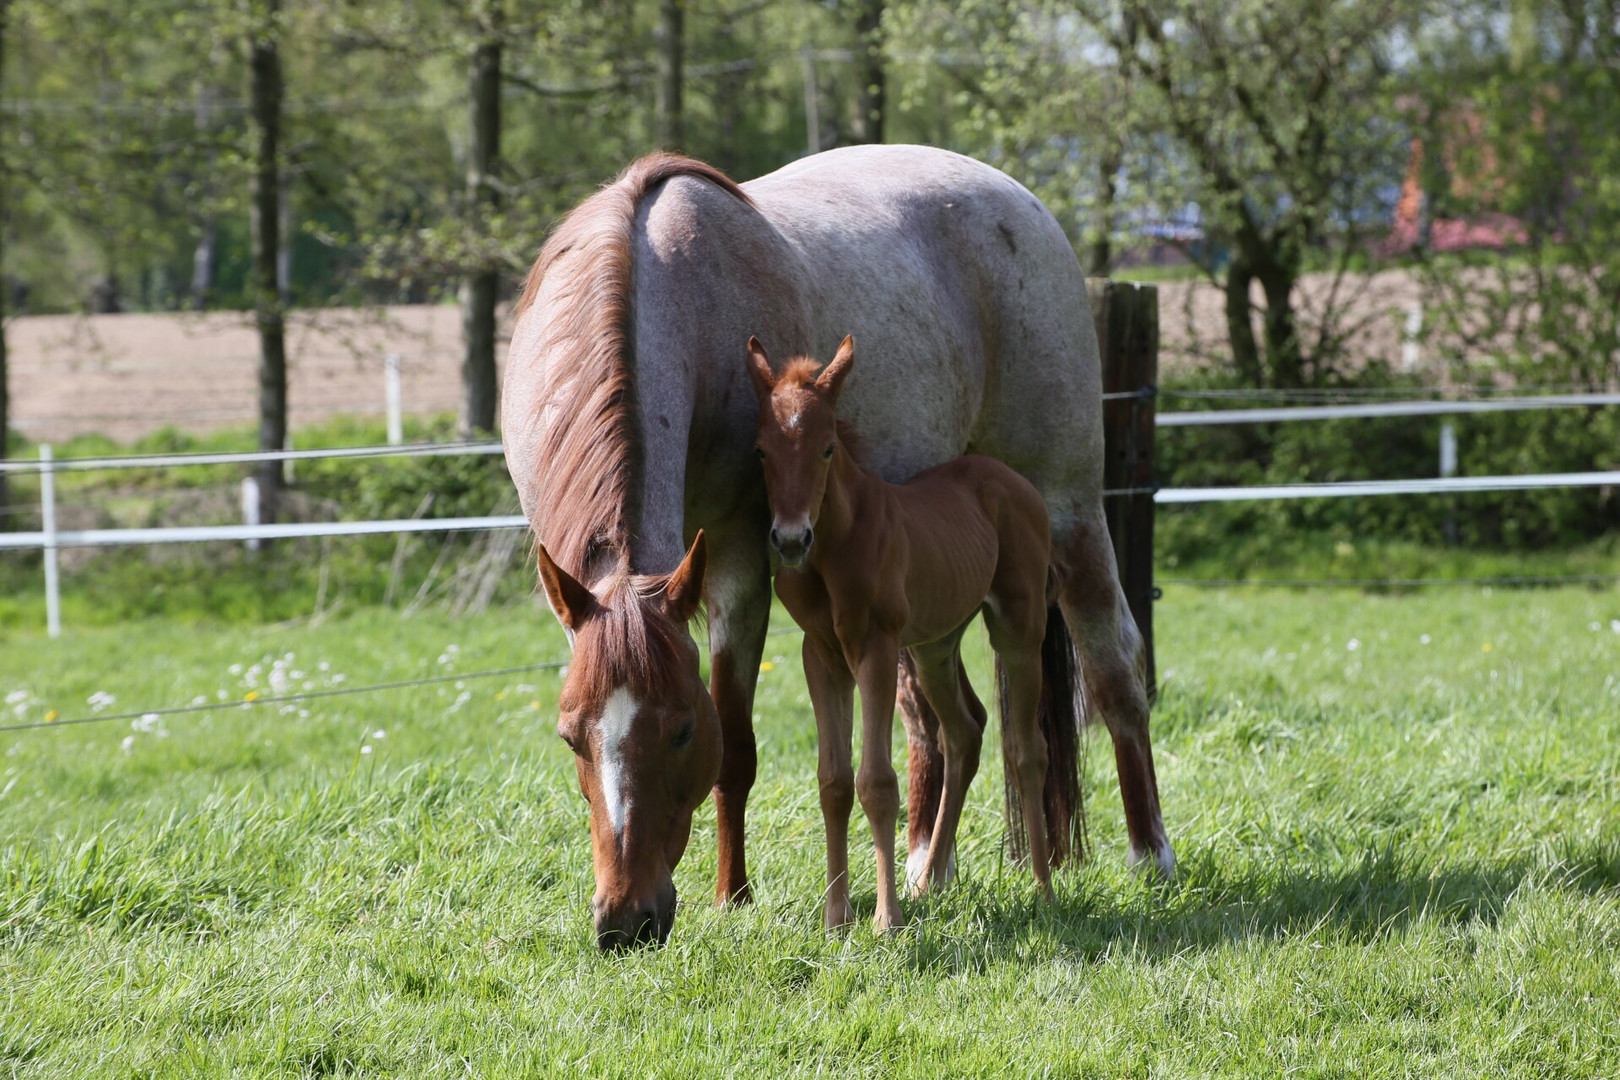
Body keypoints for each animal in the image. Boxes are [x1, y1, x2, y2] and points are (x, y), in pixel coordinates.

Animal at [748, 333, 1062, 932]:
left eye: (827, 449)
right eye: (761, 452)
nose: (791, 540)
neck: (838, 543)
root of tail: (1017, 482)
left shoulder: (875, 644)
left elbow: (877, 781)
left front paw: (886, 919)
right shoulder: (821, 653)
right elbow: (833, 781)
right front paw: (837, 917)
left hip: (1018, 625)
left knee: (1027, 748)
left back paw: (1043, 889)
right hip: (935, 645)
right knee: (963, 732)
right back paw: (927, 882)